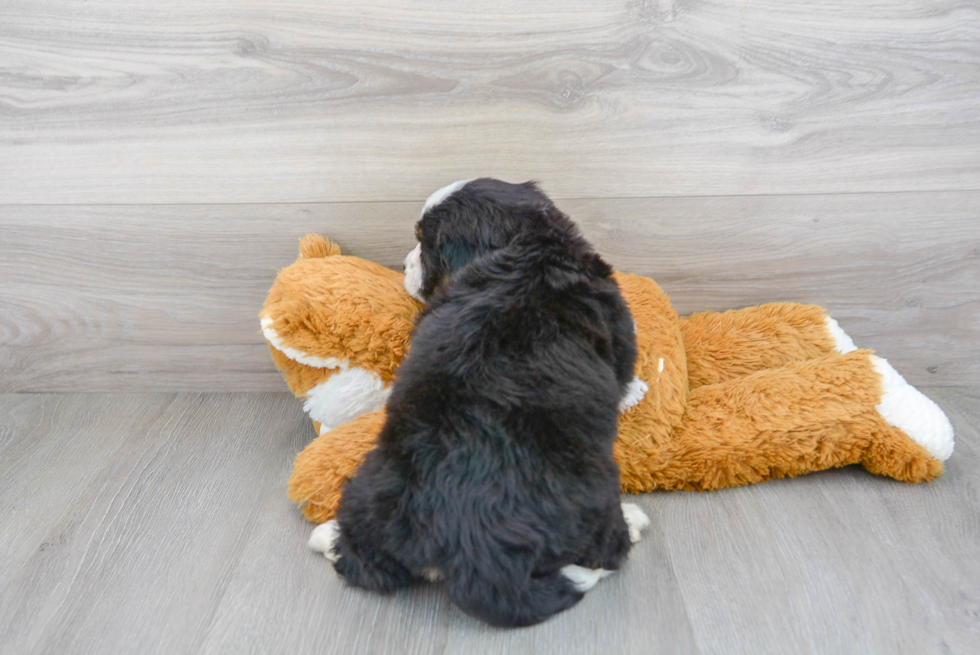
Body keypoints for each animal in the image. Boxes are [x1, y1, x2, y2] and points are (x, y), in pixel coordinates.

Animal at [312, 178, 652, 624]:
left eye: (423, 244)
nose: (403, 266)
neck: (527, 243)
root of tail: (464, 539)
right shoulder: (617, 324)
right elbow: (625, 370)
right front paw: (636, 390)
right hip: (594, 490)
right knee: (605, 553)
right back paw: (631, 521)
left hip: (371, 482)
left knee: (358, 555)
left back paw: (325, 535)